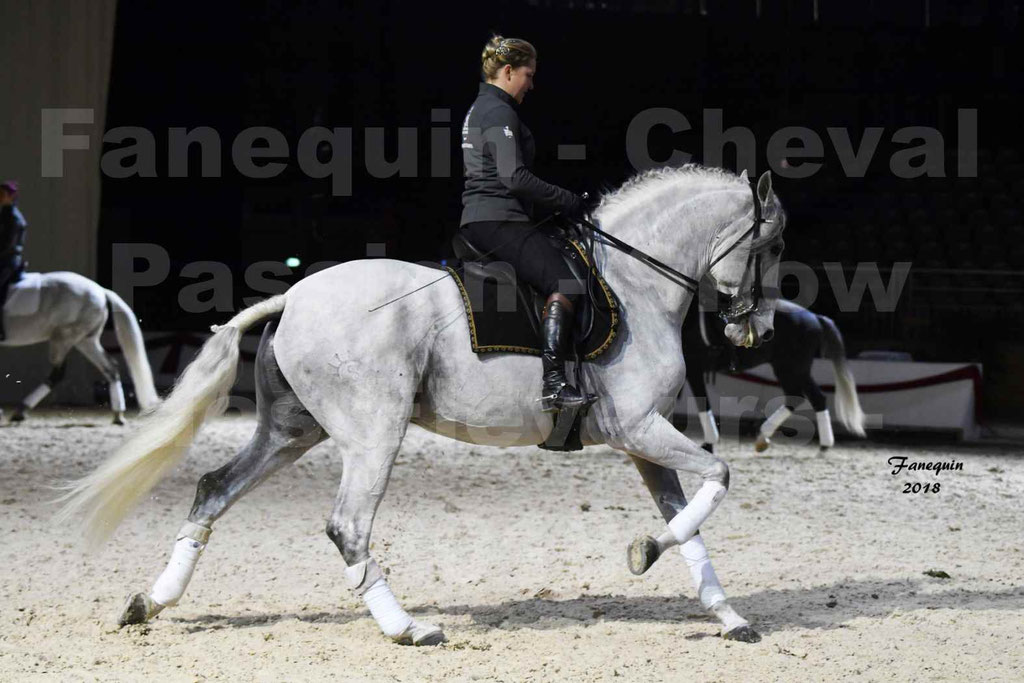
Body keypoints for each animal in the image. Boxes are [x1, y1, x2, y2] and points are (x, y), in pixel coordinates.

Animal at [1, 271, 160, 424]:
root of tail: (101, 291)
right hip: (86, 341)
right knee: (110, 367)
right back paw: (118, 414)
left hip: (64, 338)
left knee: (58, 373)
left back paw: (22, 409)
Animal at [58, 166, 787, 646]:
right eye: (774, 246)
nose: (759, 331)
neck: (636, 282)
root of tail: (292, 297)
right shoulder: (638, 427)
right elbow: (719, 477)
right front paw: (646, 552)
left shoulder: (642, 442)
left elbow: (689, 524)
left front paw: (728, 615)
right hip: (374, 431)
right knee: (347, 525)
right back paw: (408, 627)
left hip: (292, 431)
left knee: (213, 488)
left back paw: (150, 602)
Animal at [682, 293, 866, 452]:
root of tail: (815, 317)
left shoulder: (693, 367)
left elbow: (702, 403)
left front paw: (708, 445)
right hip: (798, 370)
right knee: (816, 398)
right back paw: (824, 446)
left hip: (790, 369)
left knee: (796, 397)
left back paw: (764, 434)